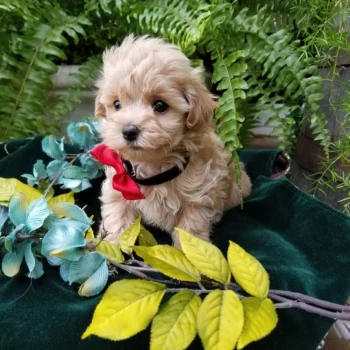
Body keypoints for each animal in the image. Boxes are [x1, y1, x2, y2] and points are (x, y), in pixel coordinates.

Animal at [93, 35, 252, 247]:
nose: (129, 130)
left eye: (160, 105)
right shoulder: (118, 193)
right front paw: (111, 247)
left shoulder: (197, 200)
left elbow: (190, 232)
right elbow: (116, 219)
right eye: (117, 104)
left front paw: (189, 255)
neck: (153, 168)